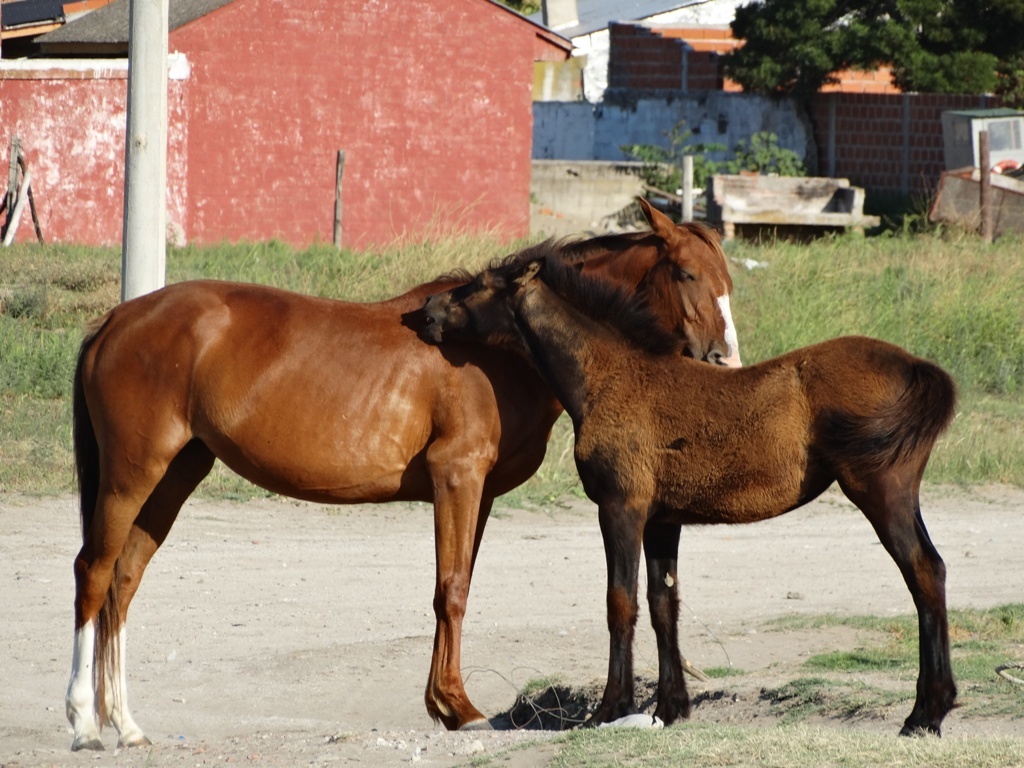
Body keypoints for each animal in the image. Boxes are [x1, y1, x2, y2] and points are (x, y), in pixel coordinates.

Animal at [61, 199, 737, 753]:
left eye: (727, 279)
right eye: (686, 274)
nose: (724, 360)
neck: (495, 345)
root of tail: (117, 318)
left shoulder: (479, 493)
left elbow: (456, 586)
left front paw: (446, 705)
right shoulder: (456, 478)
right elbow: (452, 590)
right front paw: (459, 707)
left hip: (175, 474)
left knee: (123, 581)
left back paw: (126, 724)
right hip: (132, 474)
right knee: (93, 573)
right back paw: (86, 723)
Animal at [417, 246, 958, 741]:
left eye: (479, 285)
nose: (424, 314)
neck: (608, 377)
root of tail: (917, 367)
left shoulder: (621, 508)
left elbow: (620, 602)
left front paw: (610, 708)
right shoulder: (662, 520)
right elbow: (664, 603)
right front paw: (670, 708)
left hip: (880, 490)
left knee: (922, 572)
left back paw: (923, 714)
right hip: (902, 494)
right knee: (933, 568)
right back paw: (934, 707)